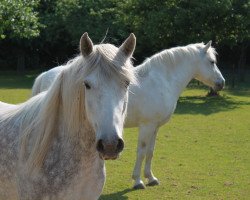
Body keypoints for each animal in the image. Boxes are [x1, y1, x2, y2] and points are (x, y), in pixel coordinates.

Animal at [30, 40, 225, 189]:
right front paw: (138, 181)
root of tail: (45, 75)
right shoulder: (146, 126)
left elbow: (150, 151)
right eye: (212, 61)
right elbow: (142, 151)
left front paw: (151, 178)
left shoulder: (155, 127)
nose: (221, 83)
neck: (161, 80)